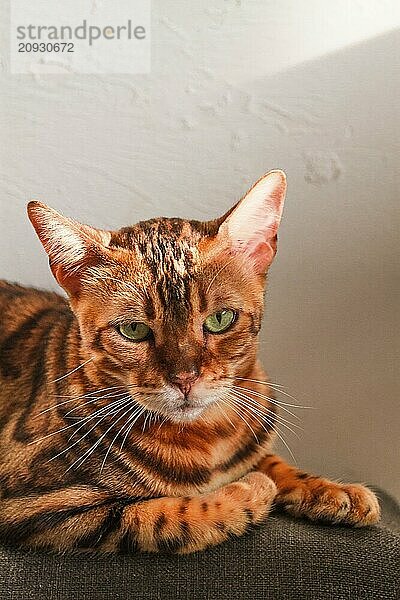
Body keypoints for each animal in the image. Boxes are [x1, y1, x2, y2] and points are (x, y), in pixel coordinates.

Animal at [0, 170, 378, 552]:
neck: (210, 437)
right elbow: (168, 515)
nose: (184, 378)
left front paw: (333, 490)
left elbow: (271, 460)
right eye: (134, 329)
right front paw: (251, 489)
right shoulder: (41, 506)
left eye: (221, 319)